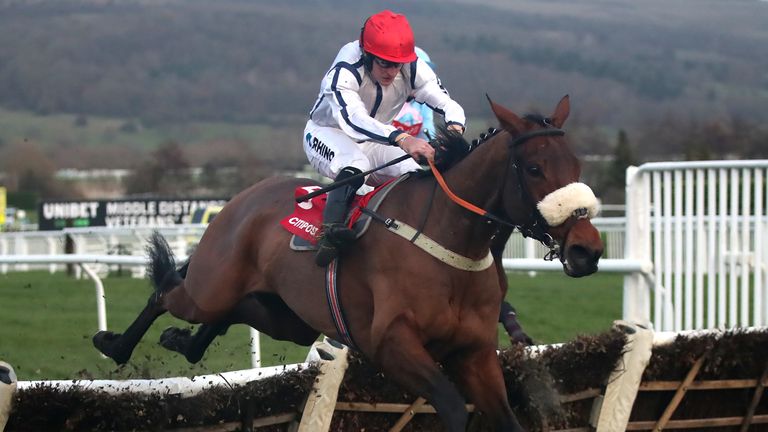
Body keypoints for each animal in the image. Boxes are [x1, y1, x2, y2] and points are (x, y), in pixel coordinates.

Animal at [93, 96, 604, 430]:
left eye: (577, 165)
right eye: (534, 169)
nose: (588, 249)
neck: (450, 245)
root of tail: (241, 199)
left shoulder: (475, 353)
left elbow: (505, 417)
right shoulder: (391, 343)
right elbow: (452, 407)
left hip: (286, 317)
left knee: (229, 312)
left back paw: (183, 342)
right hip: (210, 287)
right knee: (167, 291)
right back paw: (114, 344)